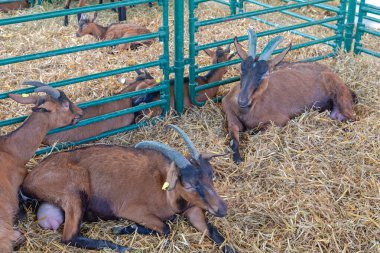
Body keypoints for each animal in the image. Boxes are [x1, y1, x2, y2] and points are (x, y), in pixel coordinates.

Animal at [22, 125, 236, 253]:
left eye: (211, 176)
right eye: (189, 184)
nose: (222, 209)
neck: (164, 189)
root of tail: (29, 179)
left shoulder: (193, 208)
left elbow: (212, 231)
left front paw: (230, 247)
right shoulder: (133, 210)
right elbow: (165, 228)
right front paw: (124, 228)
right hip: (74, 190)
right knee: (69, 237)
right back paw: (122, 247)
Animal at [221, 29, 358, 164]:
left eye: (265, 74)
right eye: (241, 68)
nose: (242, 100)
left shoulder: (279, 121)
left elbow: (257, 132)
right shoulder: (230, 115)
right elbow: (233, 138)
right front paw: (238, 158)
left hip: (340, 94)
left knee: (349, 117)